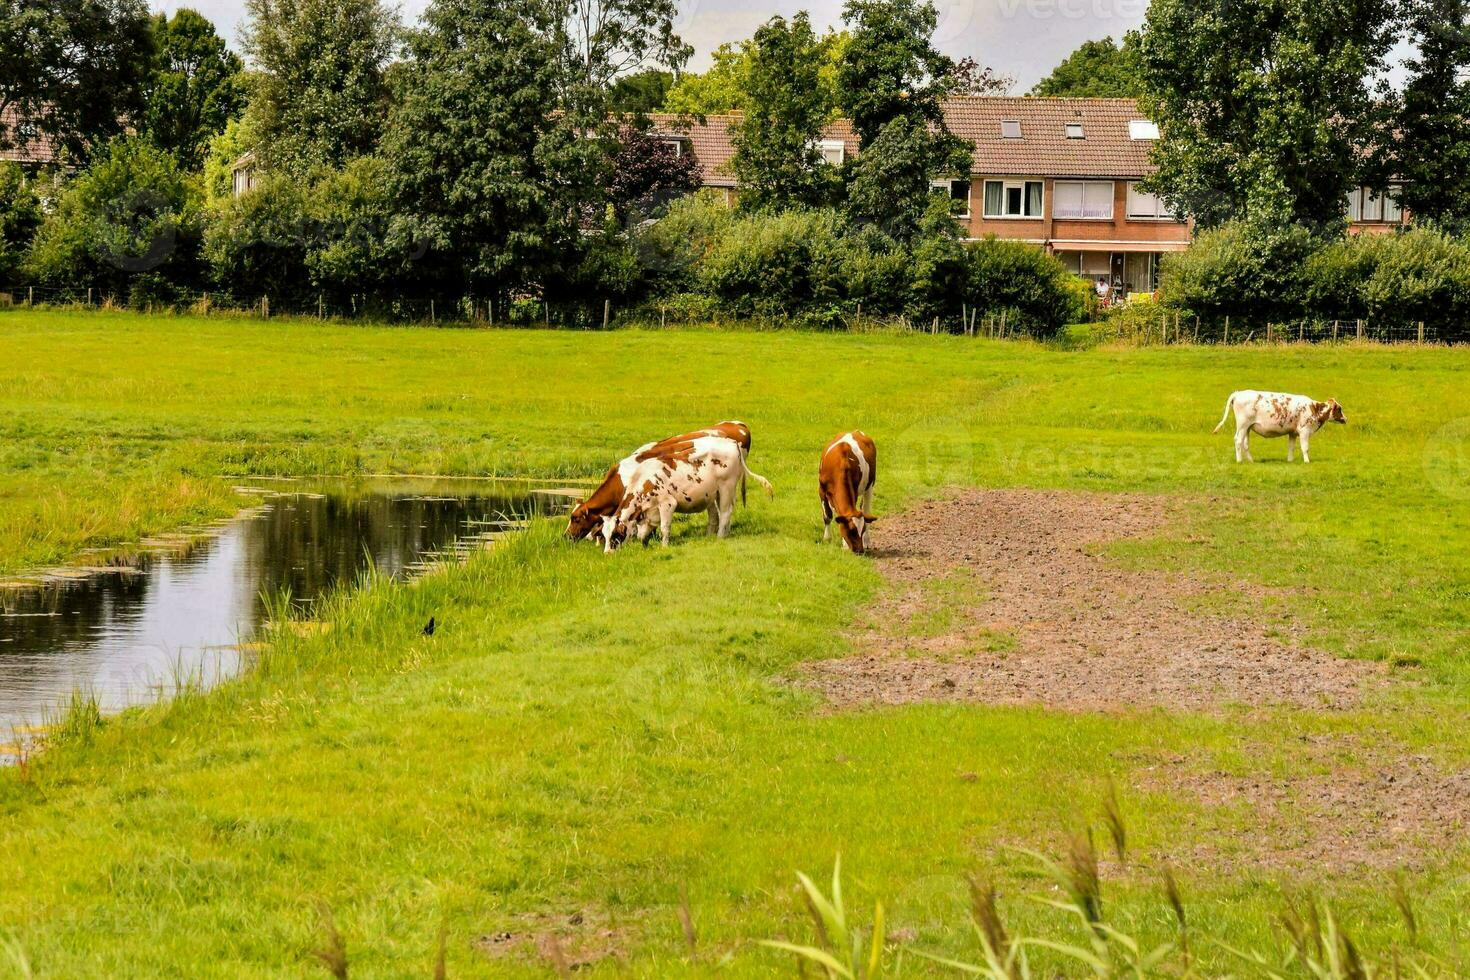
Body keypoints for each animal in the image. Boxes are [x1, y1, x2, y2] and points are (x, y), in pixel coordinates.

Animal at [602, 434, 776, 552]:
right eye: (604, 535)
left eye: (615, 534)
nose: (607, 554)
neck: (643, 479)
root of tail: (732, 442)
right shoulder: (648, 514)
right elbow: (642, 533)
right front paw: (644, 545)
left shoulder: (667, 504)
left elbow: (664, 528)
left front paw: (664, 547)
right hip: (716, 493)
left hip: (726, 487)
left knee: (725, 513)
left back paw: (719, 537)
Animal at [1217, 390, 1346, 464]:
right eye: (1339, 409)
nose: (1345, 419)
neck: (1313, 408)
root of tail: (1238, 393)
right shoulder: (1304, 431)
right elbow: (1305, 448)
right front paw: (1307, 461)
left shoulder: (1293, 432)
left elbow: (1291, 447)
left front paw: (1290, 460)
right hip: (1243, 425)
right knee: (1238, 441)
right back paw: (1239, 461)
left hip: (1247, 427)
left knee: (1245, 443)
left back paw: (1251, 461)